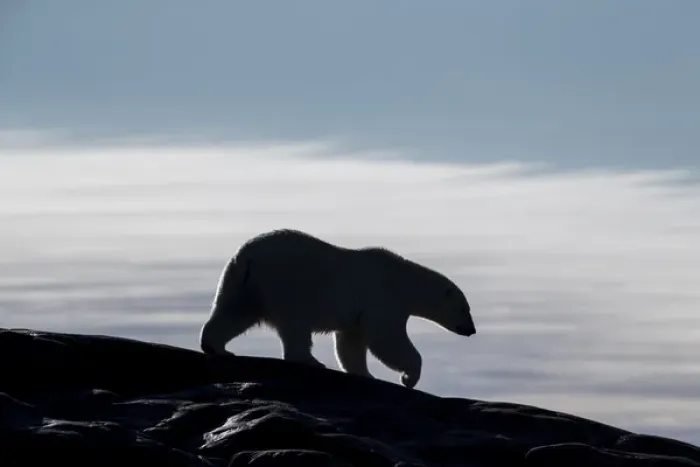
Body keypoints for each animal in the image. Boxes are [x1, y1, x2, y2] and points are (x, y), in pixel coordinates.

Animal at [199, 228, 476, 389]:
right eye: (466, 309)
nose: (471, 330)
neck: (404, 279)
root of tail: (246, 257)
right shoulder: (384, 299)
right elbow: (387, 338)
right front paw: (409, 378)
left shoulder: (359, 313)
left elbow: (351, 342)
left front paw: (366, 374)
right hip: (286, 283)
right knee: (295, 325)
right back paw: (310, 361)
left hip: (241, 283)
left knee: (234, 313)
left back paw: (217, 347)